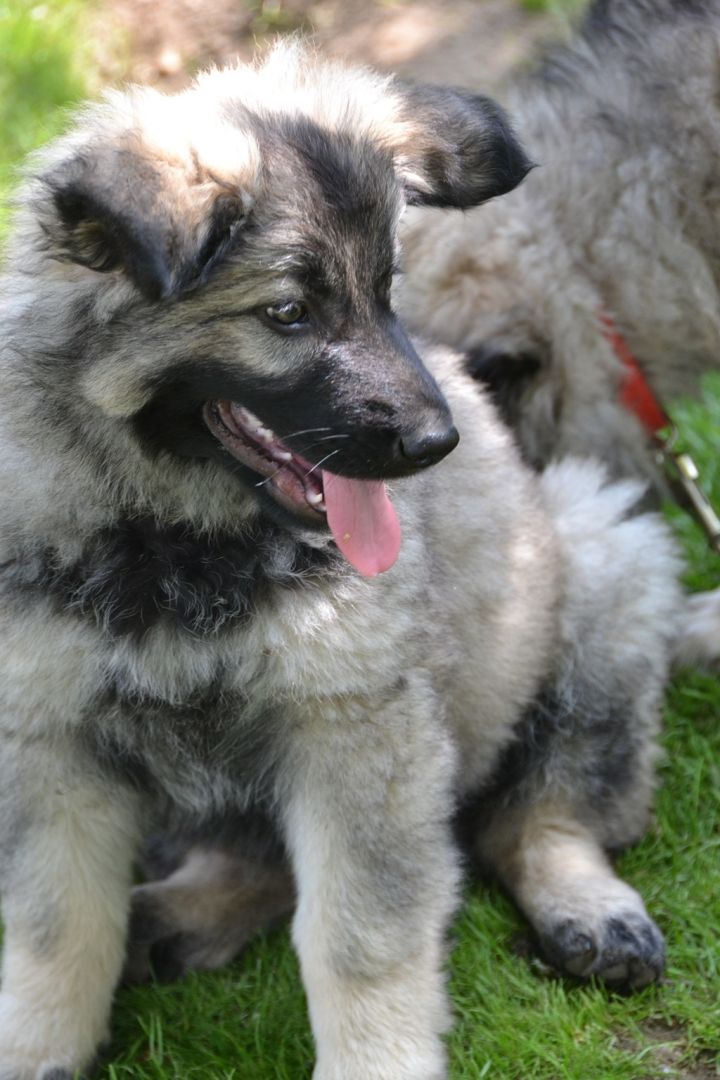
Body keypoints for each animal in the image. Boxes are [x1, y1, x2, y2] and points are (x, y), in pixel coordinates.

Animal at [0, 42, 683, 1079]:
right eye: (287, 311)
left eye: (387, 292)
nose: (439, 442)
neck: (177, 540)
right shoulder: (53, 742)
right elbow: (54, 931)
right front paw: (40, 1046)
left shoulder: (356, 731)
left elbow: (361, 934)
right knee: (257, 863)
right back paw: (177, 917)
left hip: (601, 565)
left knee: (541, 811)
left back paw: (590, 911)